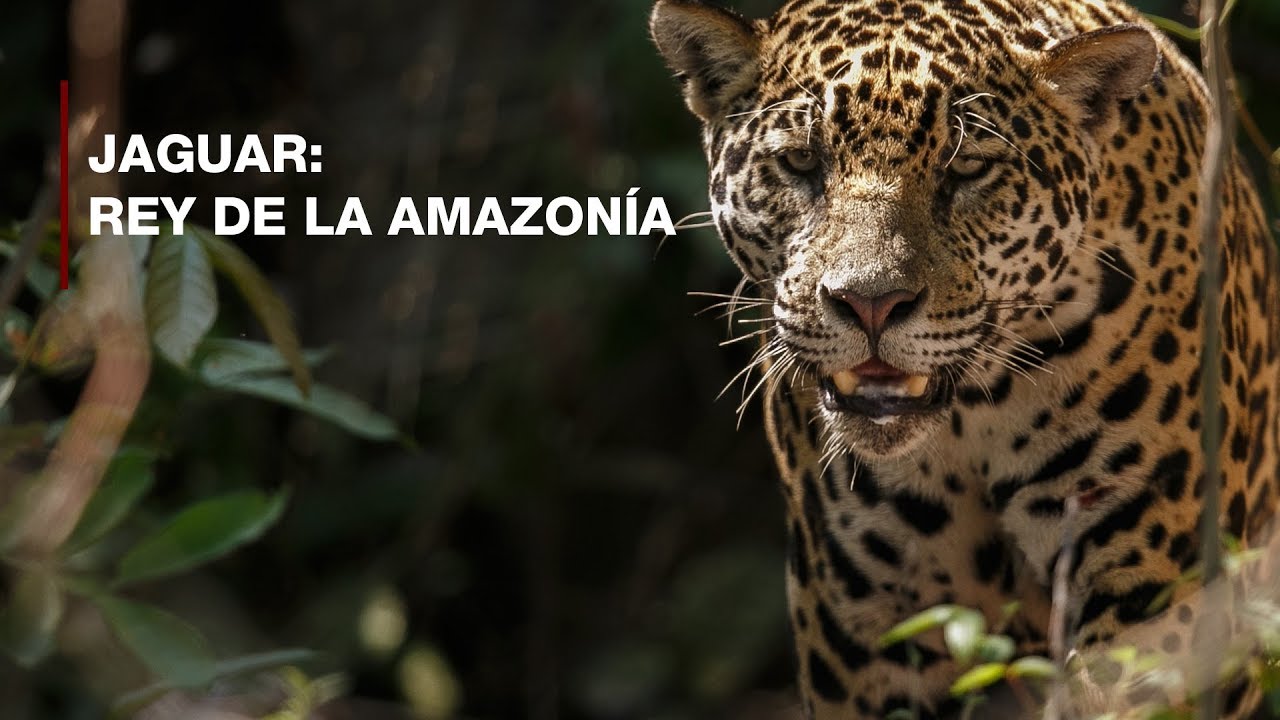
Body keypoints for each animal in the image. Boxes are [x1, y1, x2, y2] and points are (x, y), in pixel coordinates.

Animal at [650, 0, 1280, 717]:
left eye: (967, 170)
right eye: (802, 163)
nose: (869, 302)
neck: (974, 417)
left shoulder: (1155, 586)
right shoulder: (867, 632)